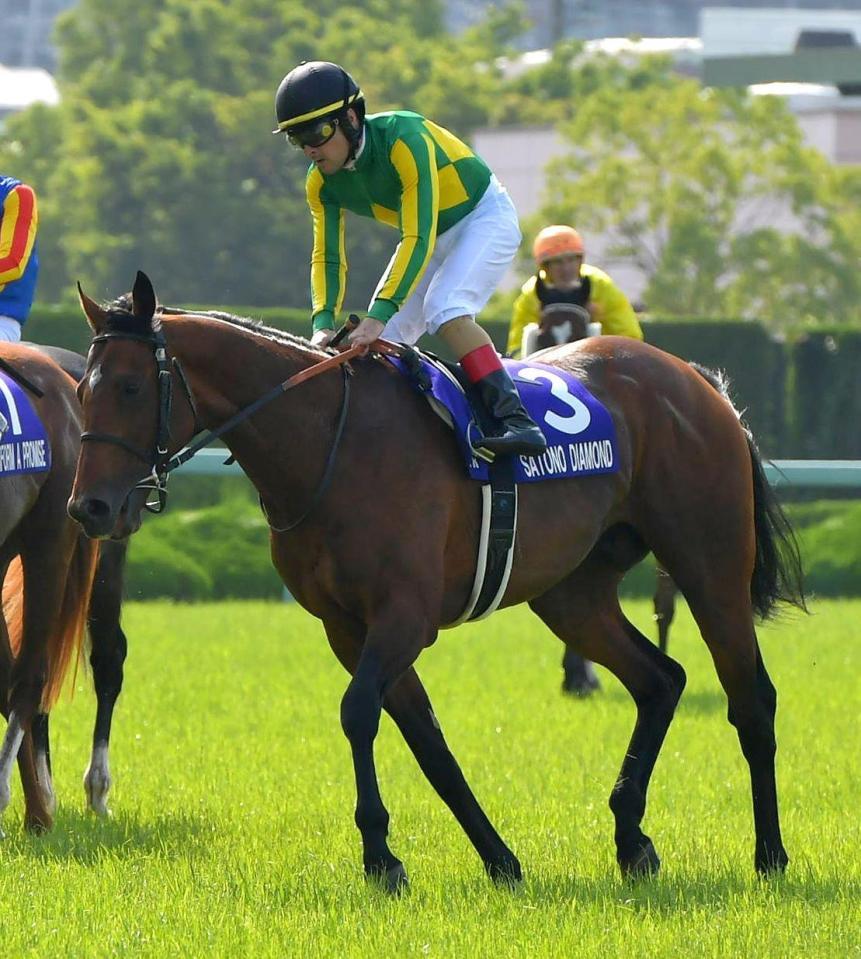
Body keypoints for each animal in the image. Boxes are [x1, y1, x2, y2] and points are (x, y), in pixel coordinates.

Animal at [69, 272, 805, 891]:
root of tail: (696, 381)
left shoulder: (404, 615)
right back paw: (632, 839)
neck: (330, 443)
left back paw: (769, 854)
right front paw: (499, 858)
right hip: (572, 593)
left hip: (708, 562)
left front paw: (380, 857)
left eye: (131, 388)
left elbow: (359, 713)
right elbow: (426, 739)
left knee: (751, 697)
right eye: (81, 391)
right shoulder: (347, 626)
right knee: (660, 680)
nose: (90, 508)